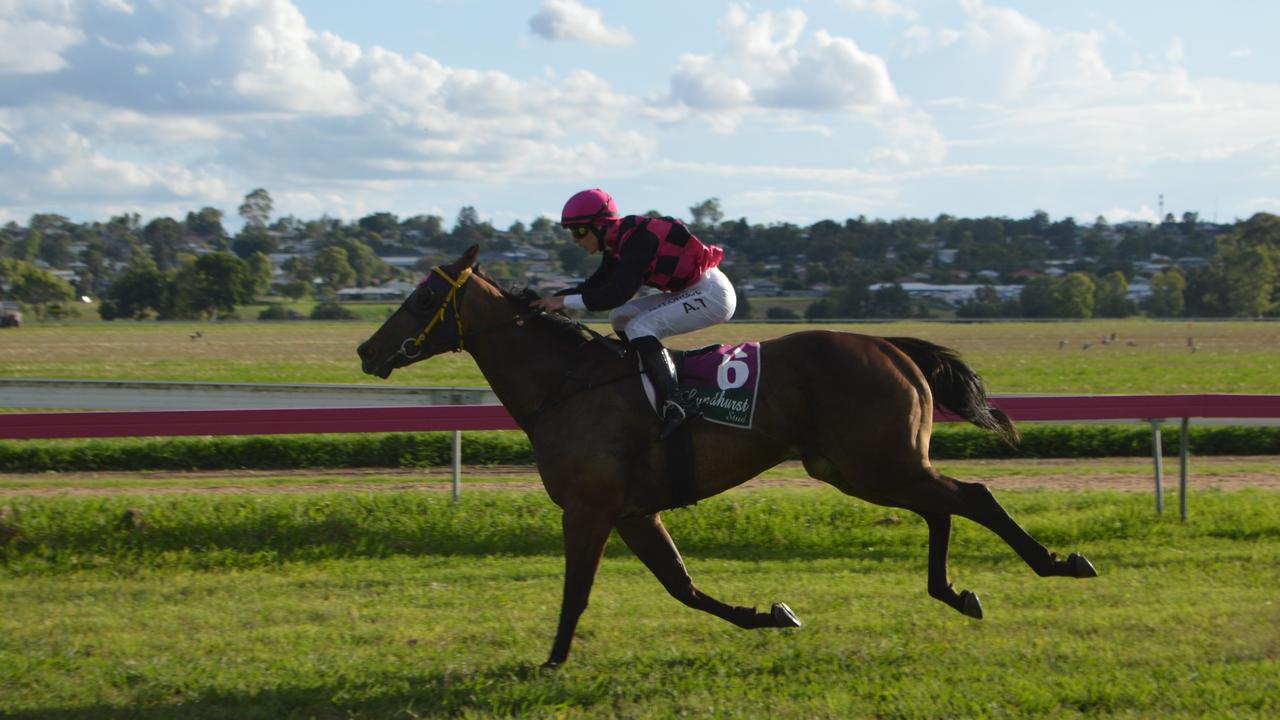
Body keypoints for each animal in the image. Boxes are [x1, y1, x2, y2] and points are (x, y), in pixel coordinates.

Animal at [355, 243, 1095, 666]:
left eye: (425, 296)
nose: (366, 350)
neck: (567, 384)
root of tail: (888, 345)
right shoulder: (634, 513)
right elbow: (683, 588)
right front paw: (771, 615)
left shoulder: (590, 509)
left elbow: (578, 591)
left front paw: (552, 662)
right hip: (863, 467)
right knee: (942, 506)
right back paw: (953, 591)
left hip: (872, 463)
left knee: (972, 497)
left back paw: (1058, 563)